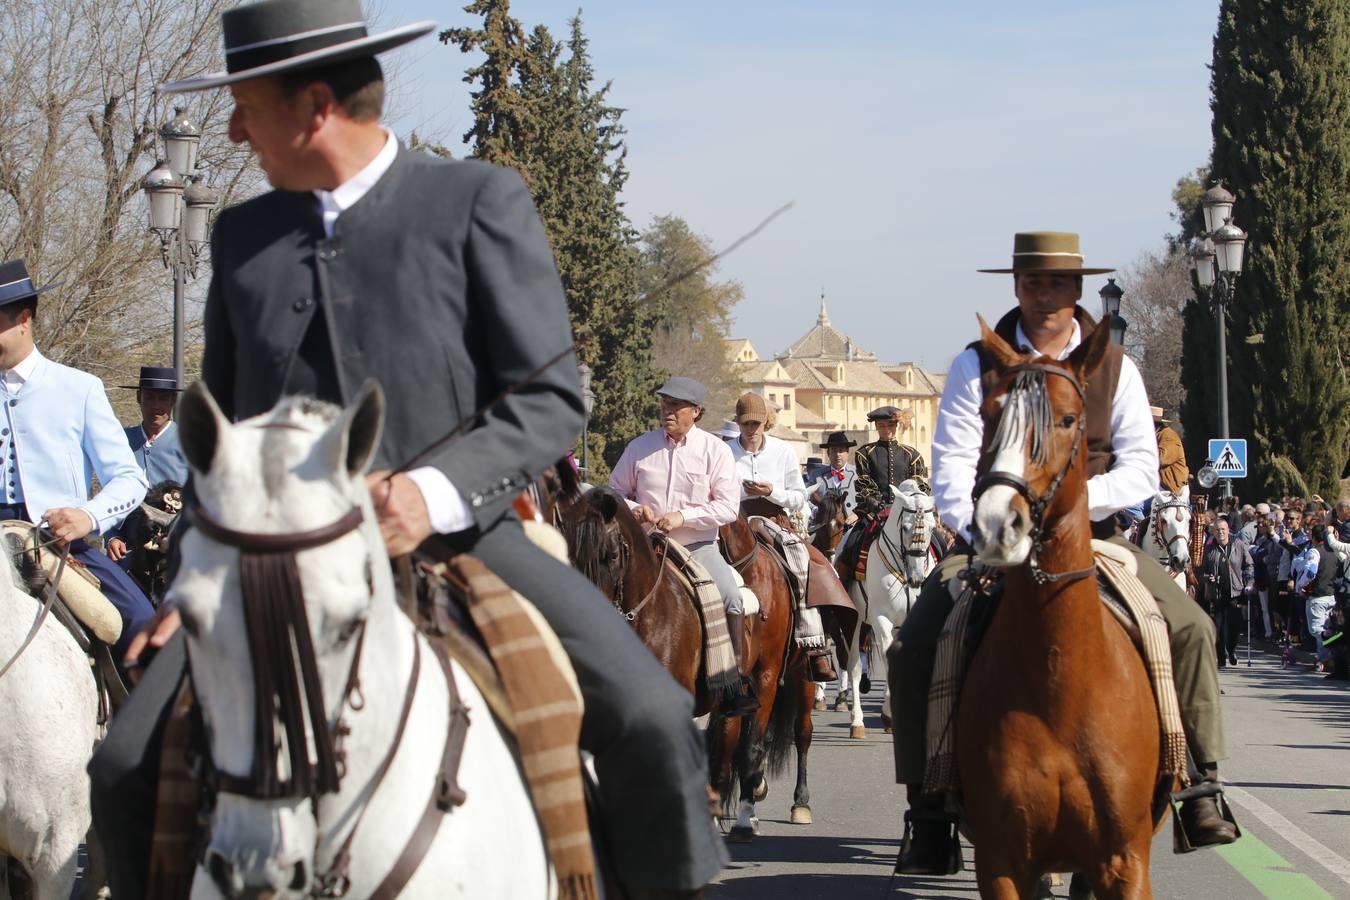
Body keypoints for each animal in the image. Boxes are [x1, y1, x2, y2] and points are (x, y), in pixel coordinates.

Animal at [831, 485, 939, 739]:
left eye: (932, 527)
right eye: (906, 527)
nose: (917, 578)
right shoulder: (881, 619)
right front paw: (889, 712)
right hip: (855, 621)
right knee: (854, 665)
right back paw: (857, 722)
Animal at [955, 318, 1166, 900]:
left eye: (1068, 419)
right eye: (988, 414)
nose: (997, 526)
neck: (1059, 684)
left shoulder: (1125, 861)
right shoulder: (1002, 862)